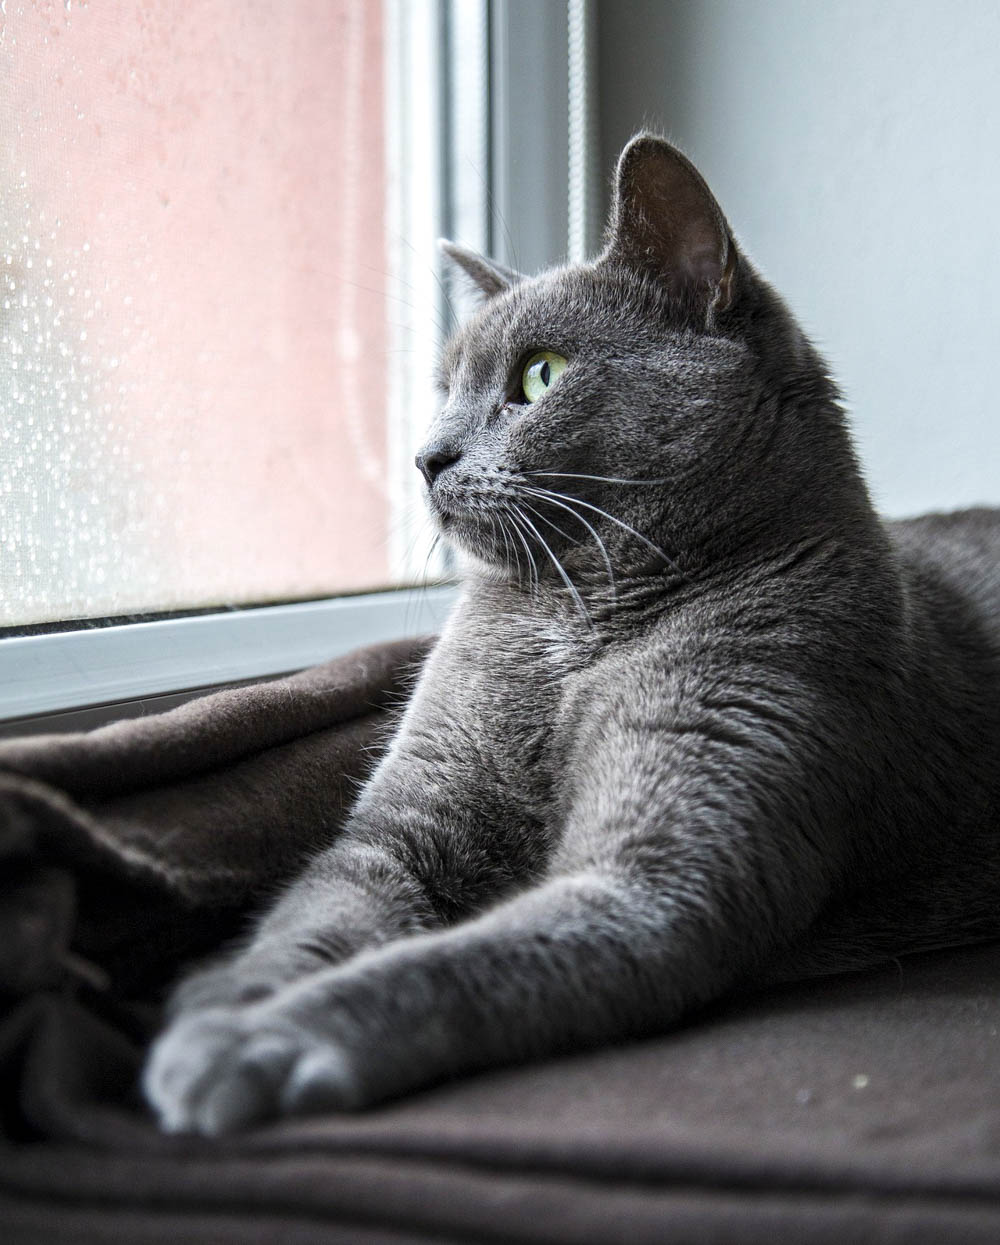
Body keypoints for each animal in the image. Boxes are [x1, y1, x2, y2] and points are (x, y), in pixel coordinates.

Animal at [144, 138, 996, 1140]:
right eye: (445, 389)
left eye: (541, 375)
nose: (426, 457)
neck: (573, 625)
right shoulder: (402, 823)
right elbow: (319, 910)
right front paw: (229, 996)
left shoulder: (664, 867)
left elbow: (450, 965)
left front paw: (253, 1044)